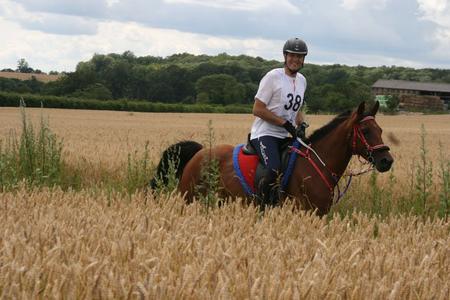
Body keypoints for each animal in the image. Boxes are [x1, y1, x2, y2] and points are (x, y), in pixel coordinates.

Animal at [149, 102, 392, 214]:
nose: (386, 160)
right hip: (190, 198)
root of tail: (199, 153)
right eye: (366, 131)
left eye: (380, 129)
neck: (317, 164)